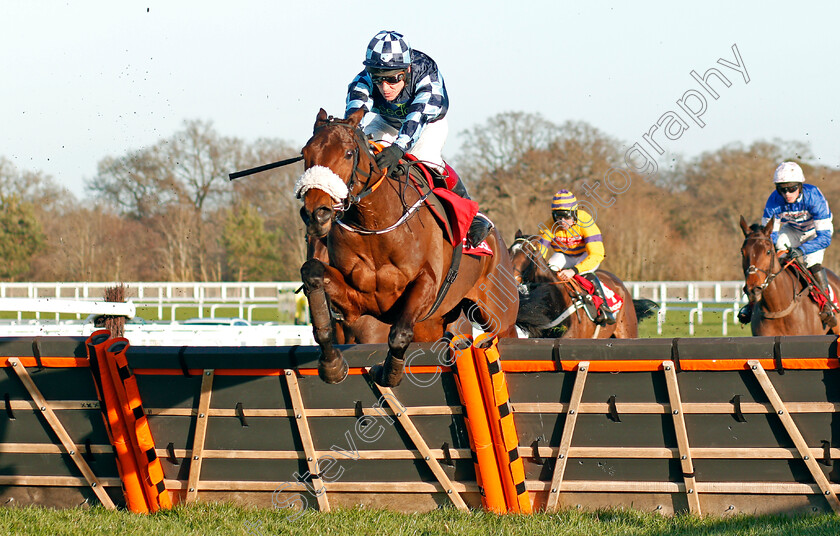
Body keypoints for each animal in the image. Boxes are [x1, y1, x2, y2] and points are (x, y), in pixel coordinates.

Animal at [296, 109, 520, 386]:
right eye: (306, 153)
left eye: (348, 153)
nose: (317, 213)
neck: (375, 224)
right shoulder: (357, 304)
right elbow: (313, 275)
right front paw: (332, 365)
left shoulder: (427, 285)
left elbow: (399, 333)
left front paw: (389, 373)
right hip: (433, 324)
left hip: (499, 316)